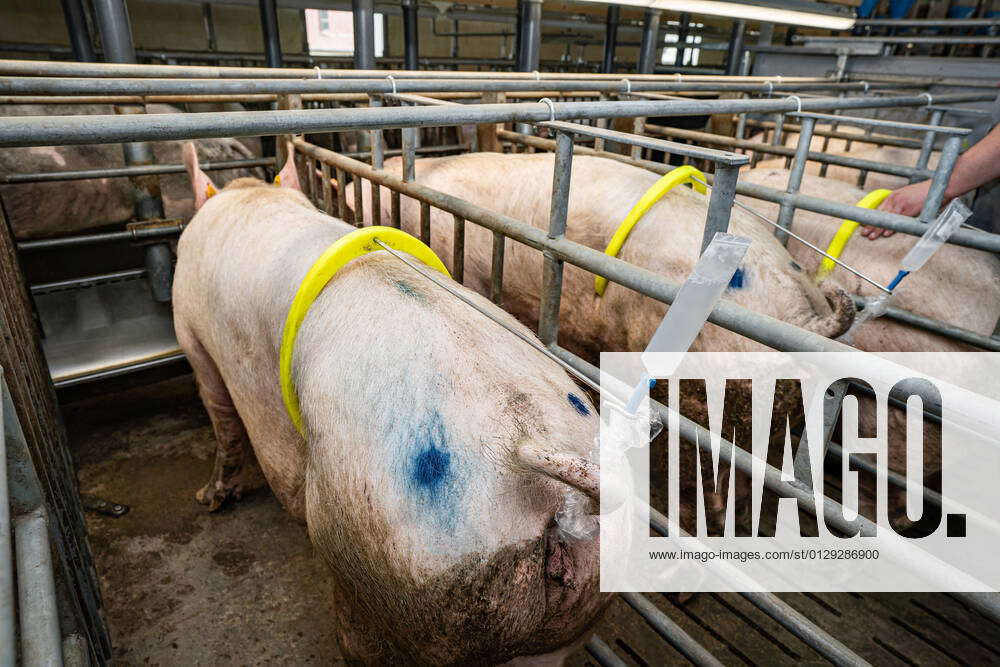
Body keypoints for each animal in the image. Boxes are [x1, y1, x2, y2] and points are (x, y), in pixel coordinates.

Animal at [172, 144, 608, 664]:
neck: (249, 194)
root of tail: (530, 447)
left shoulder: (191, 335)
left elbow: (223, 421)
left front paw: (208, 500)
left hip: (398, 568)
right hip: (574, 608)